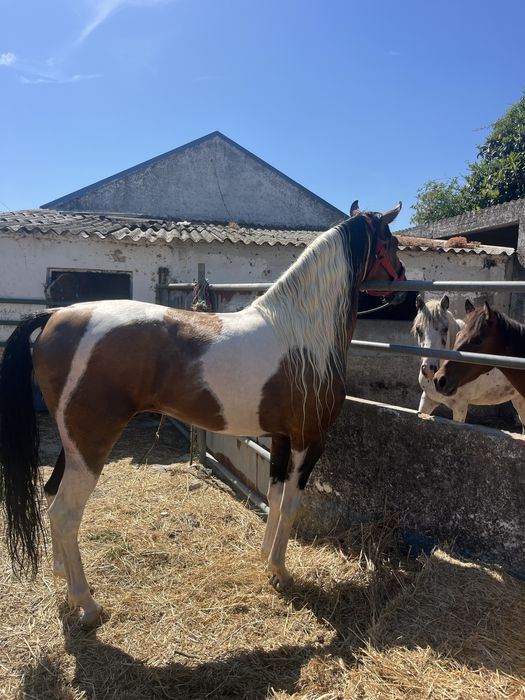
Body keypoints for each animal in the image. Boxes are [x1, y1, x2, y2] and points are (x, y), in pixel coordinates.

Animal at [0, 201, 405, 627]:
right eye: (392, 243)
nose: (402, 287)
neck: (301, 332)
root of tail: (54, 316)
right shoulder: (308, 440)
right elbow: (292, 505)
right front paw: (281, 572)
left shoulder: (280, 438)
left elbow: (275, 498)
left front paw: (266, 560)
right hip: (92, 443)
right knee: (65, 513)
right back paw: (88, 604)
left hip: (73, 444)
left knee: (50, 495)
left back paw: (63, 579)